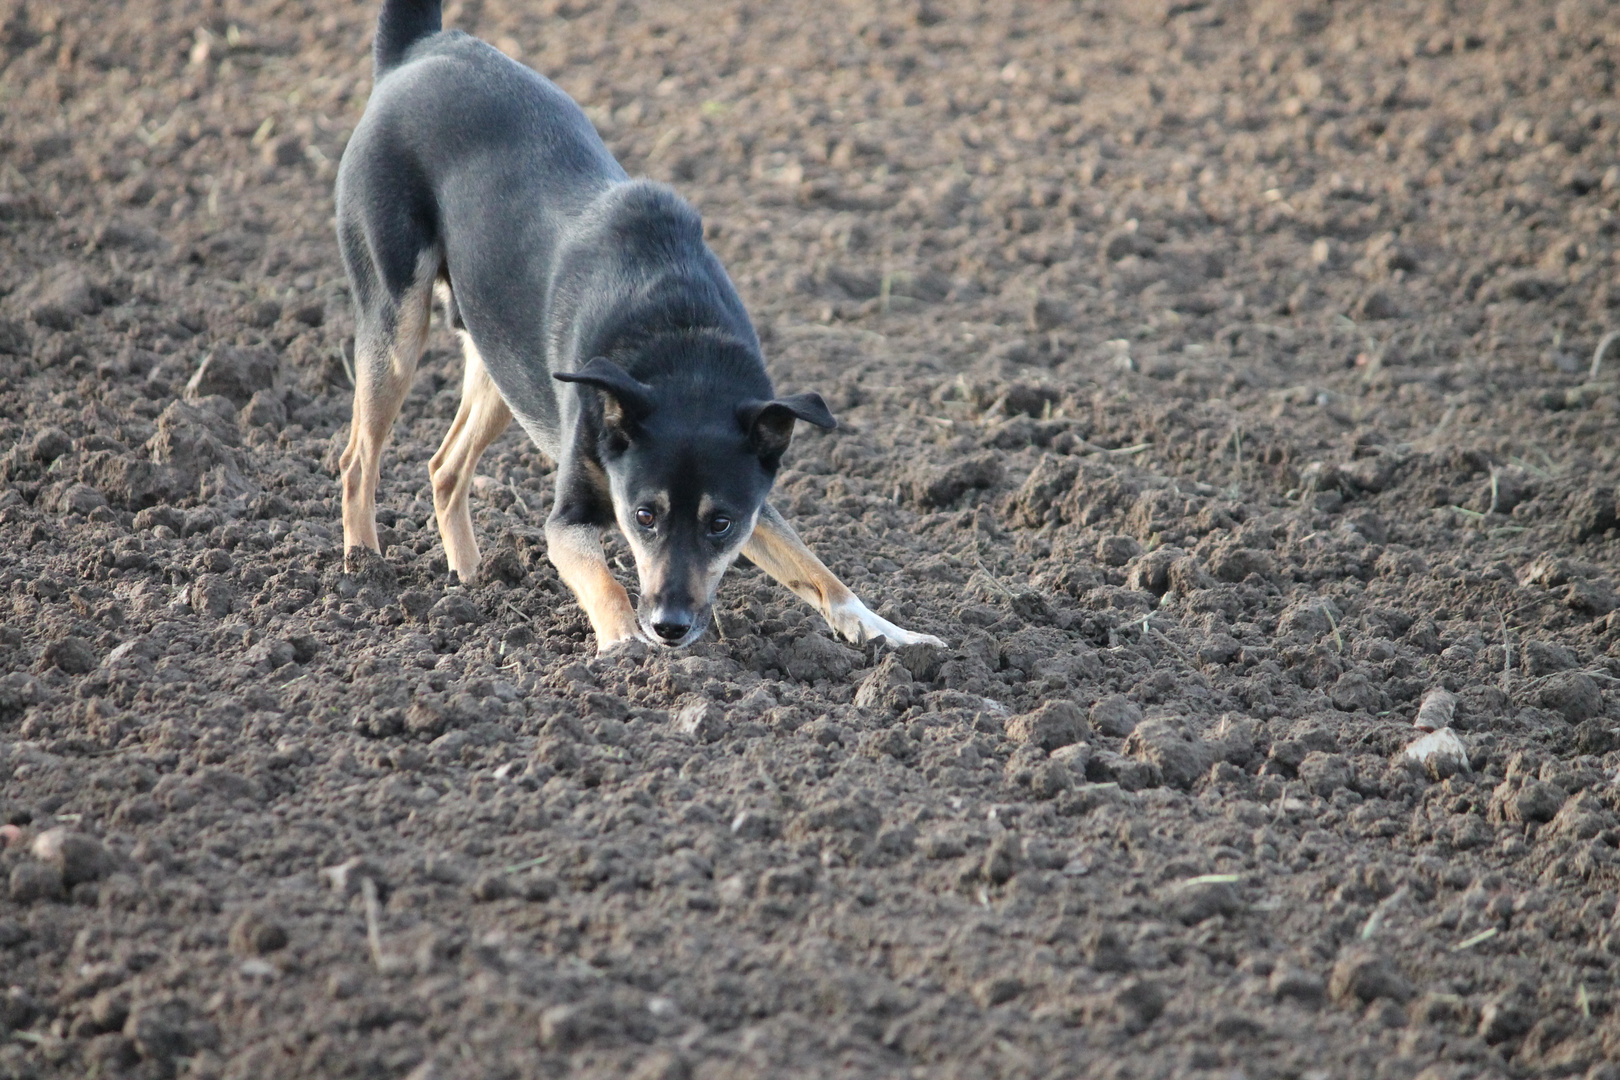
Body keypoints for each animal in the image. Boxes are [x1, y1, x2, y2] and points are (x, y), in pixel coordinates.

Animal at [335, 0, 946, 654]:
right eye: (643, 516)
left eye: (721, 524)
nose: (670, 627)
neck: (682, 343)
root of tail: (418, 48)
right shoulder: (568, 519)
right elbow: (606, 581)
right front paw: (627, 648)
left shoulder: (755, 495)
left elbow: (817, 569)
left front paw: (892, 632)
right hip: (397, 321)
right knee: (358, 459)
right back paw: (364, 568)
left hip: (505, 365)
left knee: (445, 467)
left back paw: (475, 581)